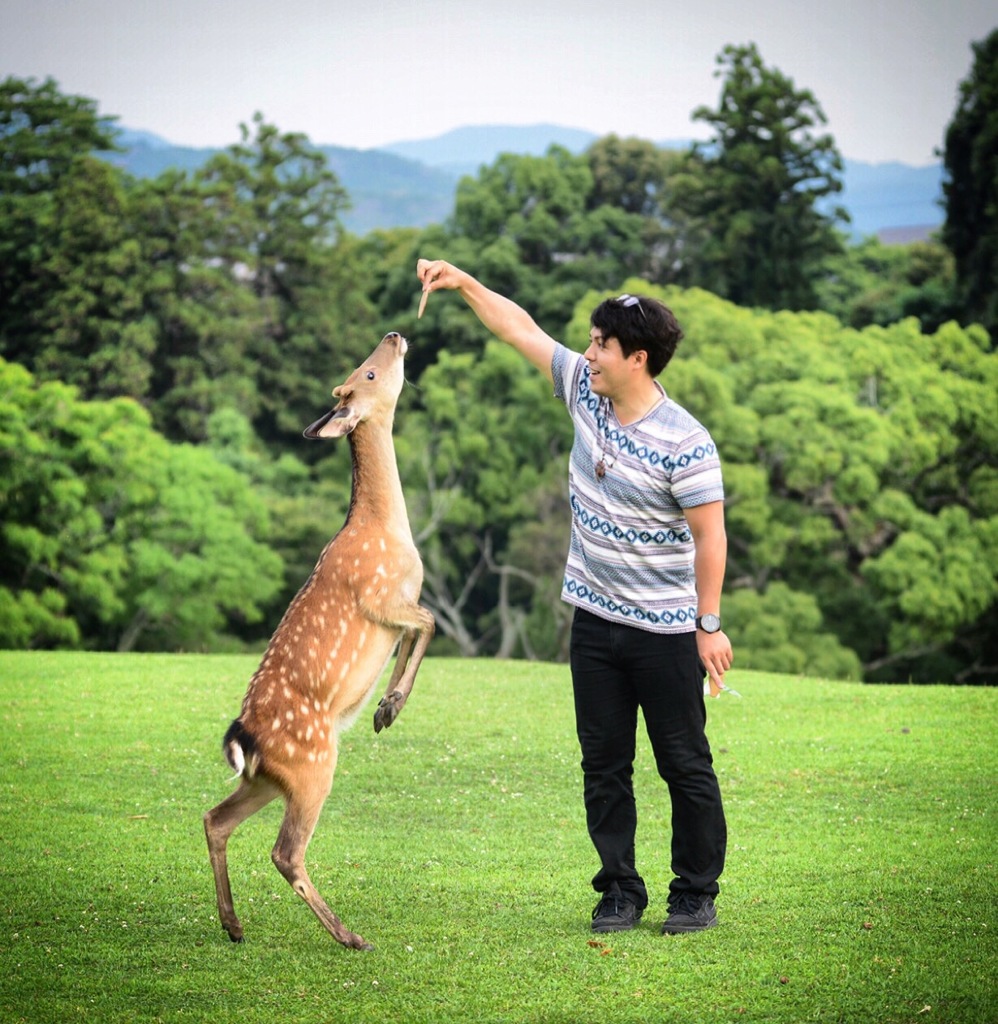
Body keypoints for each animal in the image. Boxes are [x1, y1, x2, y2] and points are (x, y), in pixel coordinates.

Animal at [202, 333, 434, 950]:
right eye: (369, 373)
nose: (396, 336)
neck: (387, 529)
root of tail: (244, 737)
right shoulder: (380, 596)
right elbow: (429, 622)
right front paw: (389, 707)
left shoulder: (396, 610)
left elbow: (415, 633)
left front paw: (384, 707)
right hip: (312, 765)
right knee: (285, 852)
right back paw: (350, 936)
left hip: (268, 779)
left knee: (214, 819)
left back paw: (234, 925)